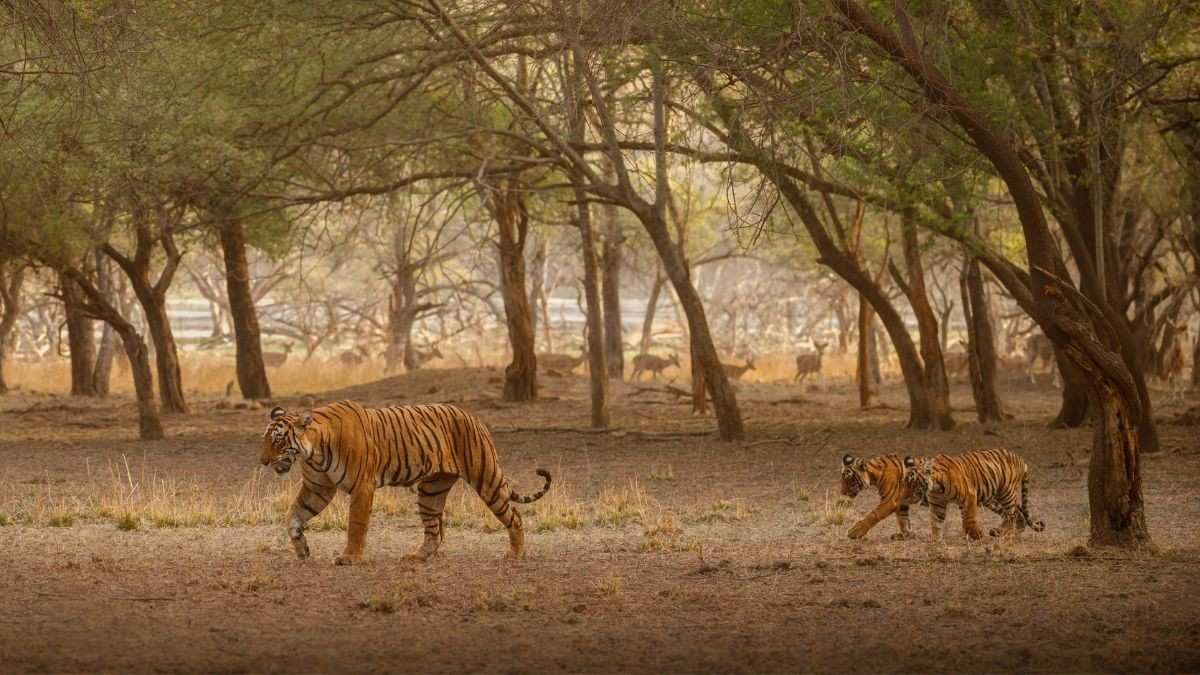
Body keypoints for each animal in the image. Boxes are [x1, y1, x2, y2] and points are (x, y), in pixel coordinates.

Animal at [260, 400, 551, 565]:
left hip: (486, 478)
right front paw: (302, 549)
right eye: (265, 440)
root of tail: (473, 416)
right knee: (434, 531)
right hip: (431, 490)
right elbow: (293, 516)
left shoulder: (362, 486)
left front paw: (350, 558)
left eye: (277, 440)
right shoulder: (318, 488)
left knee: (514, 517)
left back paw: (515, 554)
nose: (262, 461)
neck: (314, 452)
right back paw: (417, 557)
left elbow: (356, 525)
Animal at [903, 448, 1045, 540]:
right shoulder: (937, 504)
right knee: (1017, 513)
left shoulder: (969, 497)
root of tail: (1020, 459)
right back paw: (1012, 534)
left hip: (1006, 492)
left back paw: (1001, 532)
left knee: (1011, 514)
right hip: (992, 499)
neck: (936, 488)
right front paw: (935, 540)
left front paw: (976, 535)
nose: (905, 498)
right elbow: (935, 522)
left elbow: (968, 519)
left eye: (913, 484)